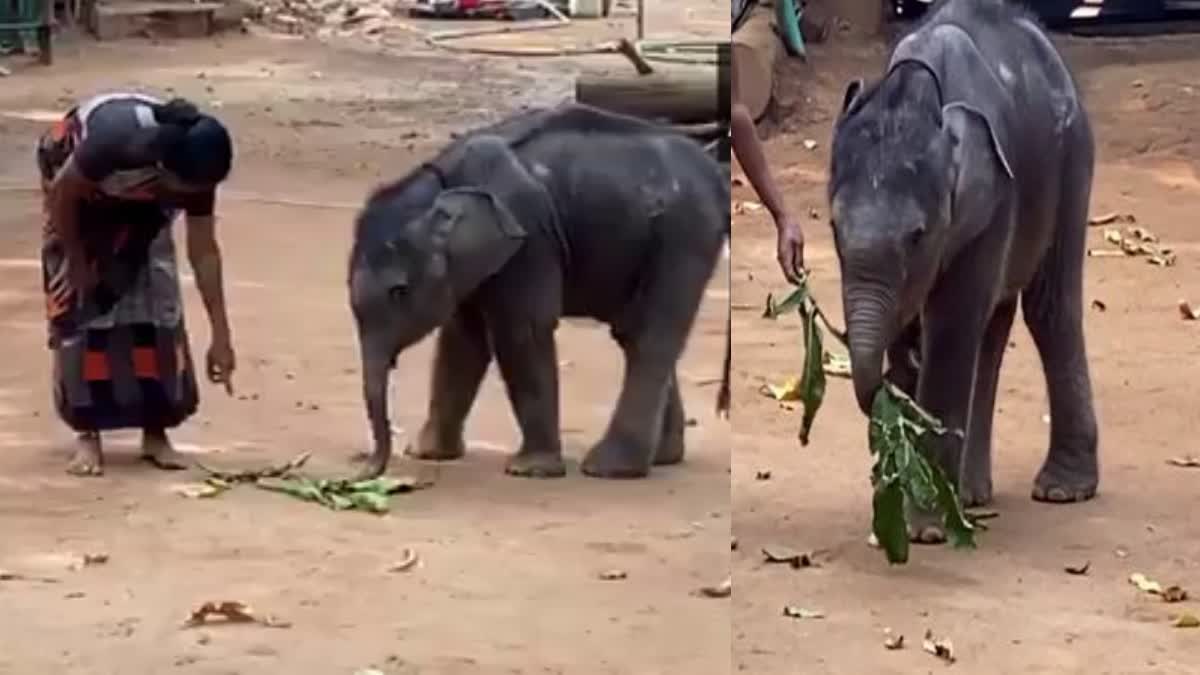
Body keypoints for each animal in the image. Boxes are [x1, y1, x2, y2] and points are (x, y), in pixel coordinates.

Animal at [343, 102, 724, 478]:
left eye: (399, 291)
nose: (362, 468)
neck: (442, 182)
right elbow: (462, 338)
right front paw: (428, 454)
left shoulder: (530, 237)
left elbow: (521, 329)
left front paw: (529, 469)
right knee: (632, 333)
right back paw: (663, 458)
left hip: (686, 237)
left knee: (648, 337)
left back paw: (609, 468)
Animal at [830, 0, 1099, 538]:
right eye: (832, 228)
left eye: (917, 235)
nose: (888, 387)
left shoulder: (993, 198)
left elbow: (951, 328)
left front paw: (923, 529)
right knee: (994, 326)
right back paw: (974, 496)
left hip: (1071, 157)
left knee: (1049, 310)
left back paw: (1061, 491)